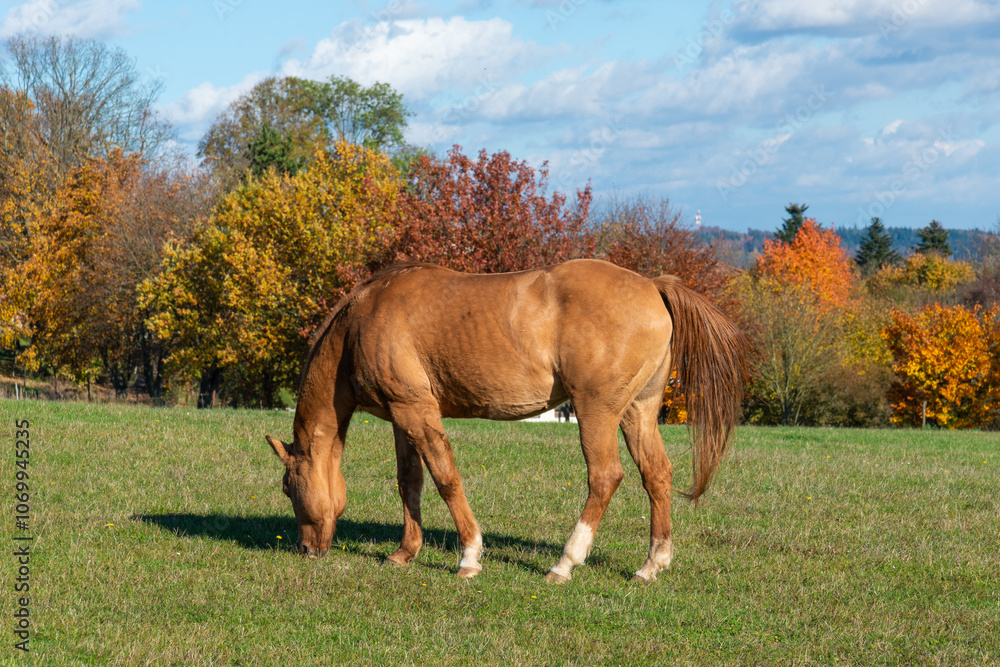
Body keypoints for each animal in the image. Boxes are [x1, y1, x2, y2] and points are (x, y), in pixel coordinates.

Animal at [265, 259, 748, 582]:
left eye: (288, 487)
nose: (305, 549)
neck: (363, 317)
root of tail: (652, 284)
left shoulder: (416, 411)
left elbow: (445, 478)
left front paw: (469, 556)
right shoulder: (402, 417)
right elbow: (410, 483)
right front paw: (406, 552)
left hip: (597, 412)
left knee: (605, 478)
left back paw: (565, 562)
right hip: (637, 413)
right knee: (657, 475)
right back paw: (652, 564)